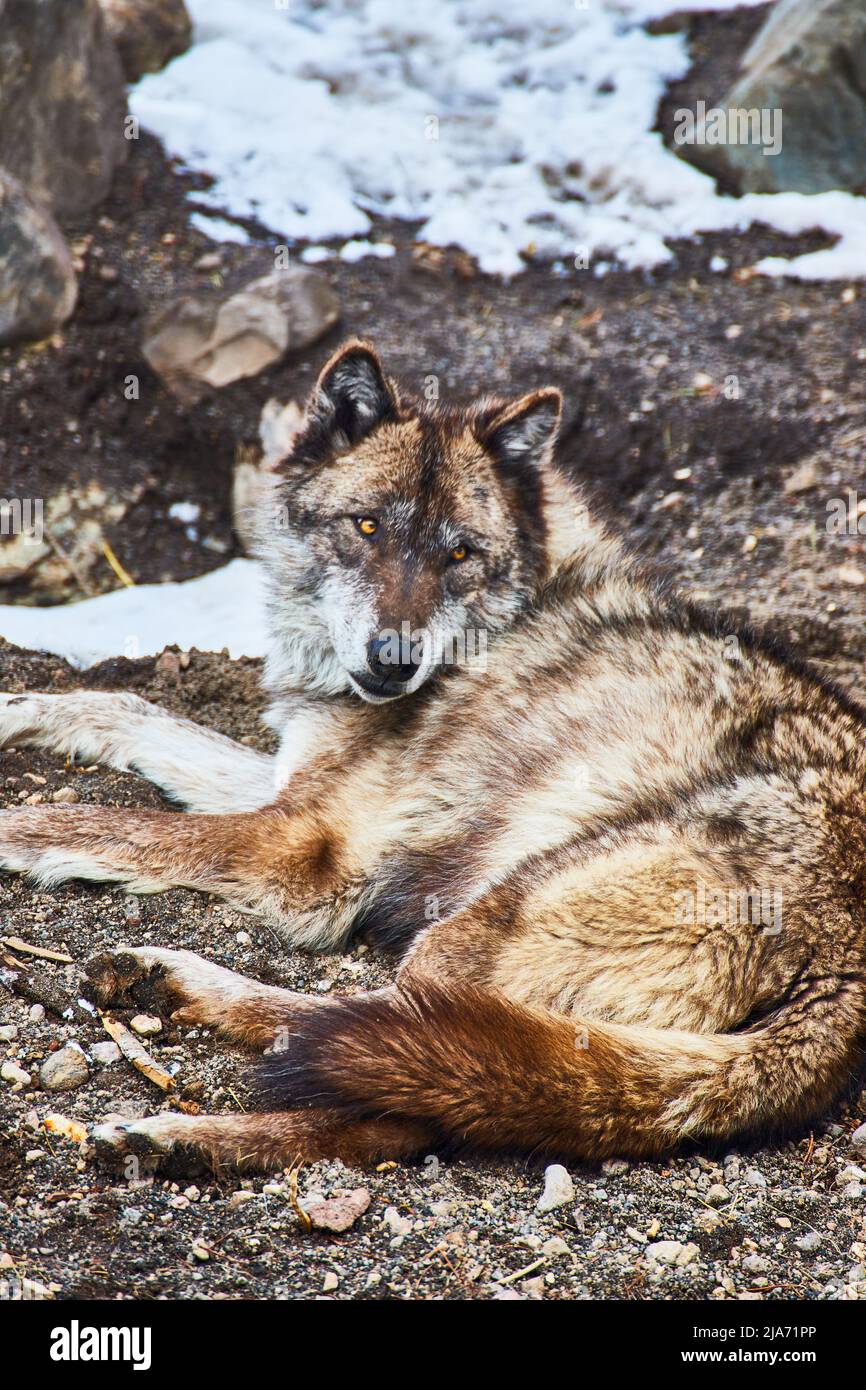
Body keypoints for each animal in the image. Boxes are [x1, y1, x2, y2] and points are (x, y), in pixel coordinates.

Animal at [1, 339, 865, 1173]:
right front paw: (21, 710)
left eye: (460, 554)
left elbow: (104, 822)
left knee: (395, 1077)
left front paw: (17, 827)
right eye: (368, 527)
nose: (393, 661)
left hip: (471, 929)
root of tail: (848, 980)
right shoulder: (290, 784)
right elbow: (130, 710)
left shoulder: (301, 849)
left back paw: (178, 1100)